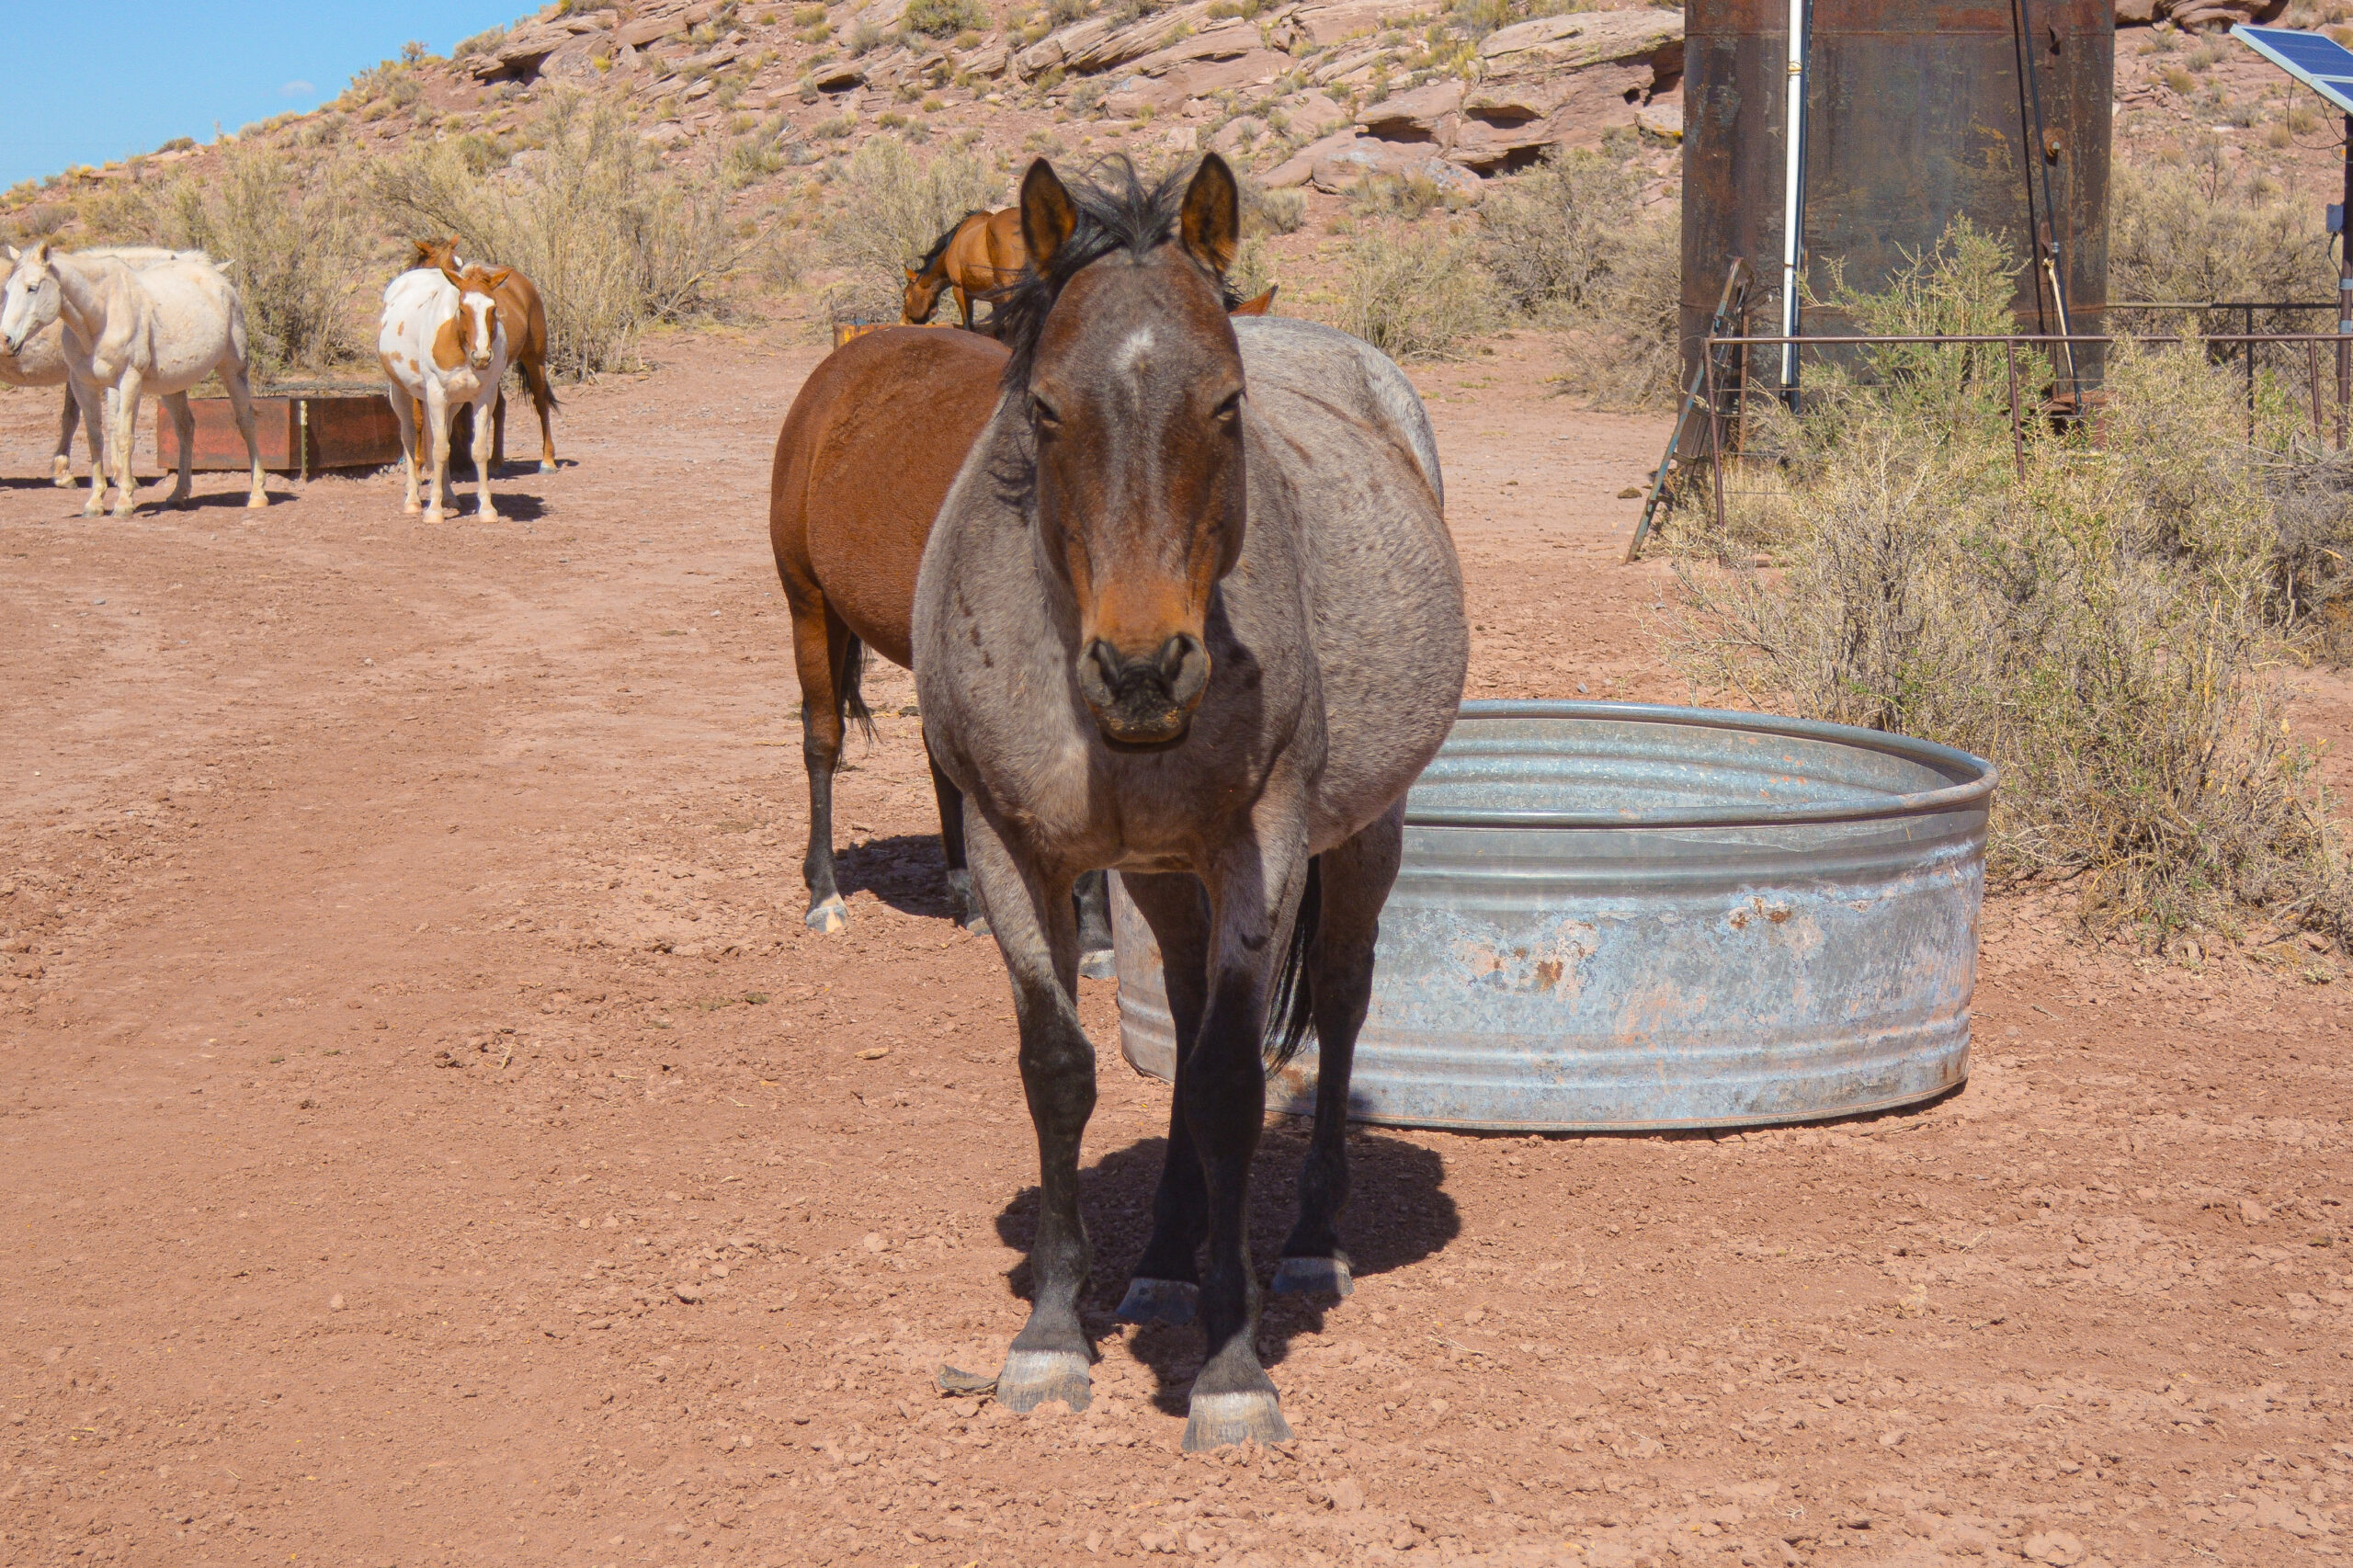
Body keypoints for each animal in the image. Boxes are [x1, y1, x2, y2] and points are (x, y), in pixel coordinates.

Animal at [0, 242, 265, 518]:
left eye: (32, 287)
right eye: (7, 290)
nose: (5, 340)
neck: (102, 314)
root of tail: (221, 285)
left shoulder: (126, 381)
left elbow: (121, 434)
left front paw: (123, 499)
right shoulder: (83, 383)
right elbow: (94, 438)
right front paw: (95, 500)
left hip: (233, 370)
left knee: (245, 422)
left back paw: (257, 495)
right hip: (175, 385)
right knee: (186, 428)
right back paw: (178, 495)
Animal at [379, 260, 512, 523]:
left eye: (493, 308)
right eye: (462, 309)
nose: (482, 357)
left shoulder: (484, 397)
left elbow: (477, 450)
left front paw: (487, 509)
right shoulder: (437, 394)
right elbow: (439, 450)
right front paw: (433, 511)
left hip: (453, 403)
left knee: (444, 436)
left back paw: (449, 497)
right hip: (401, 393)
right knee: (409, 437)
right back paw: (413, 500)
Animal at [411, 237, 559, 473]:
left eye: (459, 266)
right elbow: (418, 418)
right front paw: (419, 467)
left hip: (534, 358)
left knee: (541, 401)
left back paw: (547, 461)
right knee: (500, 407)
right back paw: (496, 460)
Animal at [770, 287, 1284, 955]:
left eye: (1227, 402)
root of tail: (837, 369)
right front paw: (1092, 933)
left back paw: (967, 895)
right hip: (808, 604)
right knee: (823, 739)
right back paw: (826, 894)